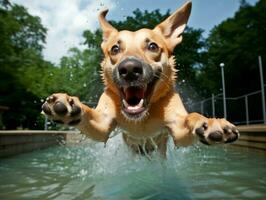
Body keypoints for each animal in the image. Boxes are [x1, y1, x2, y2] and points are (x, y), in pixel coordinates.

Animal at [41, 1, 239, 156]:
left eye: (152, 46)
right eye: (115, 49)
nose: (129, 69)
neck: (142, 118)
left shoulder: (178, 130)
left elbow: (192, 117)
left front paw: (211, 123)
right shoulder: (102, 125)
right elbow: (88, 114)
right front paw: (68, 105)